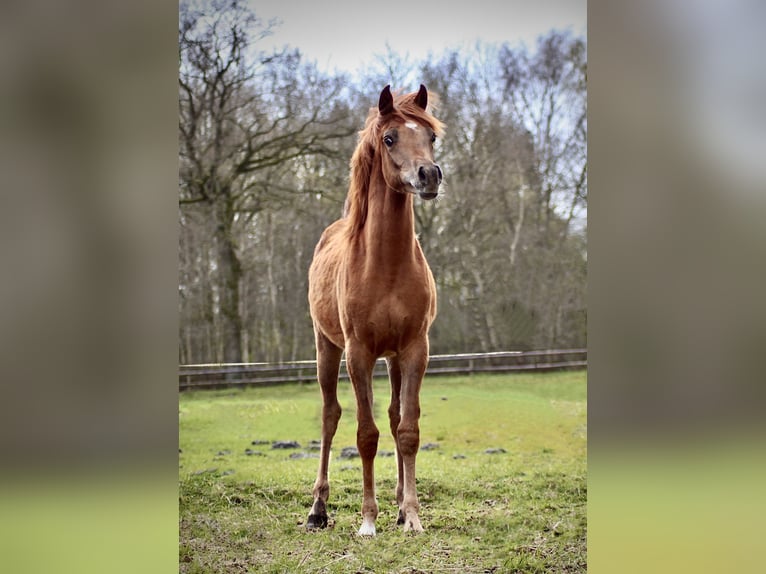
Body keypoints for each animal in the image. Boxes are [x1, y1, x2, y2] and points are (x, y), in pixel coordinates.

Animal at [306, 85, 444, 540]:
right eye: (389, 138)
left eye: (431, 136)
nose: (429, 175)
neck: (384, 265)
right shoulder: (359, 353)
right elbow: (366, 434)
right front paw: (368, 520)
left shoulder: (416, 349)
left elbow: (407, 429)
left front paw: (412, 515)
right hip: (327, 349)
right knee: (330, 417)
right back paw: (317, 509)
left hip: (395, 358)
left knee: (395, 415)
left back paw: (400, 506)